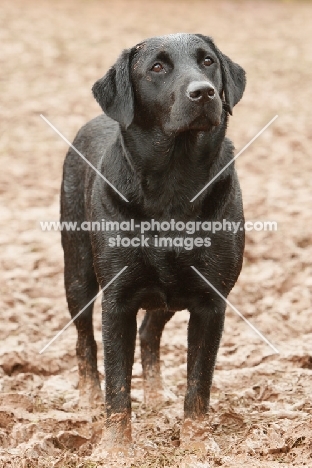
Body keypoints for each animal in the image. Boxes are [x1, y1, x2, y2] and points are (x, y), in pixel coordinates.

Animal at [60, 33, 246, 446]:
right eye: (157, 67)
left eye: (208, 61)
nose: (204, 92)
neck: (174, 182)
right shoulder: (117, 299)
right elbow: (117, 385)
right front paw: (115, 448)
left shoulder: (212, 301)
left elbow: (199, 383)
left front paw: (196, 443)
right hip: (76, 271)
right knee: (84, 340)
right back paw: (87, 398)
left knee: (149, 333)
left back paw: (157, 394)